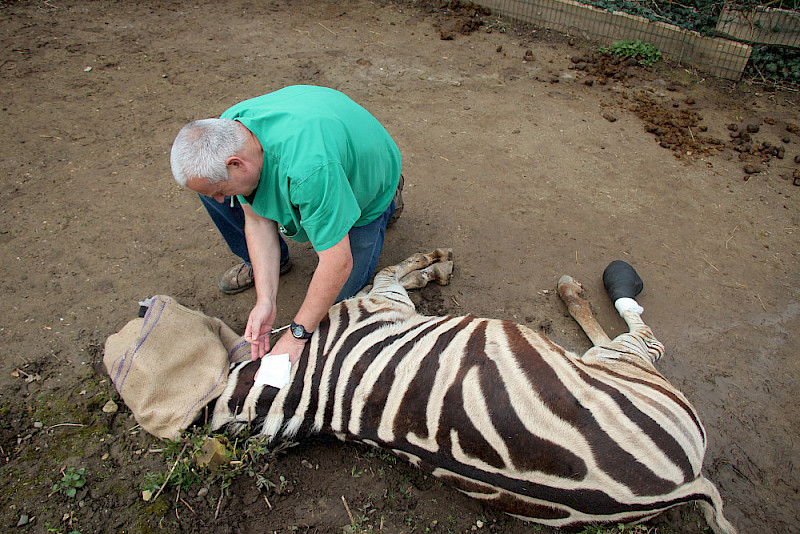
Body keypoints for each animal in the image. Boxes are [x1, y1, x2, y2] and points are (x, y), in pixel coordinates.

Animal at [209, 249, 736, 533]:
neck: (313, 389)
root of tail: (685, 486)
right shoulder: (381, 300)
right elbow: (395, 272)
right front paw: (433, 266)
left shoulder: (383, 305)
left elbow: (399, 273)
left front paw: (433, 269)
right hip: (629, 369)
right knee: (642, 338)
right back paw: (583, 288)